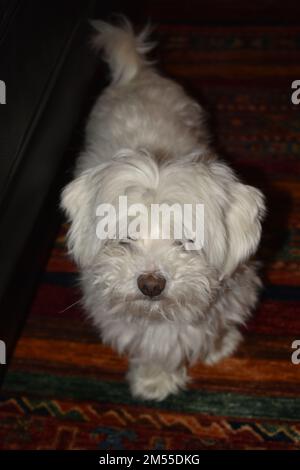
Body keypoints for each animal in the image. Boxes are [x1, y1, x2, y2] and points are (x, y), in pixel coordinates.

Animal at [60, 18, 264, 400]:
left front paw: (219, 347)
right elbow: (153, 348)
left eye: (187, 239)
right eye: (124, 237)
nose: (150, 284)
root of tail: (135, 75)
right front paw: (154, 381)